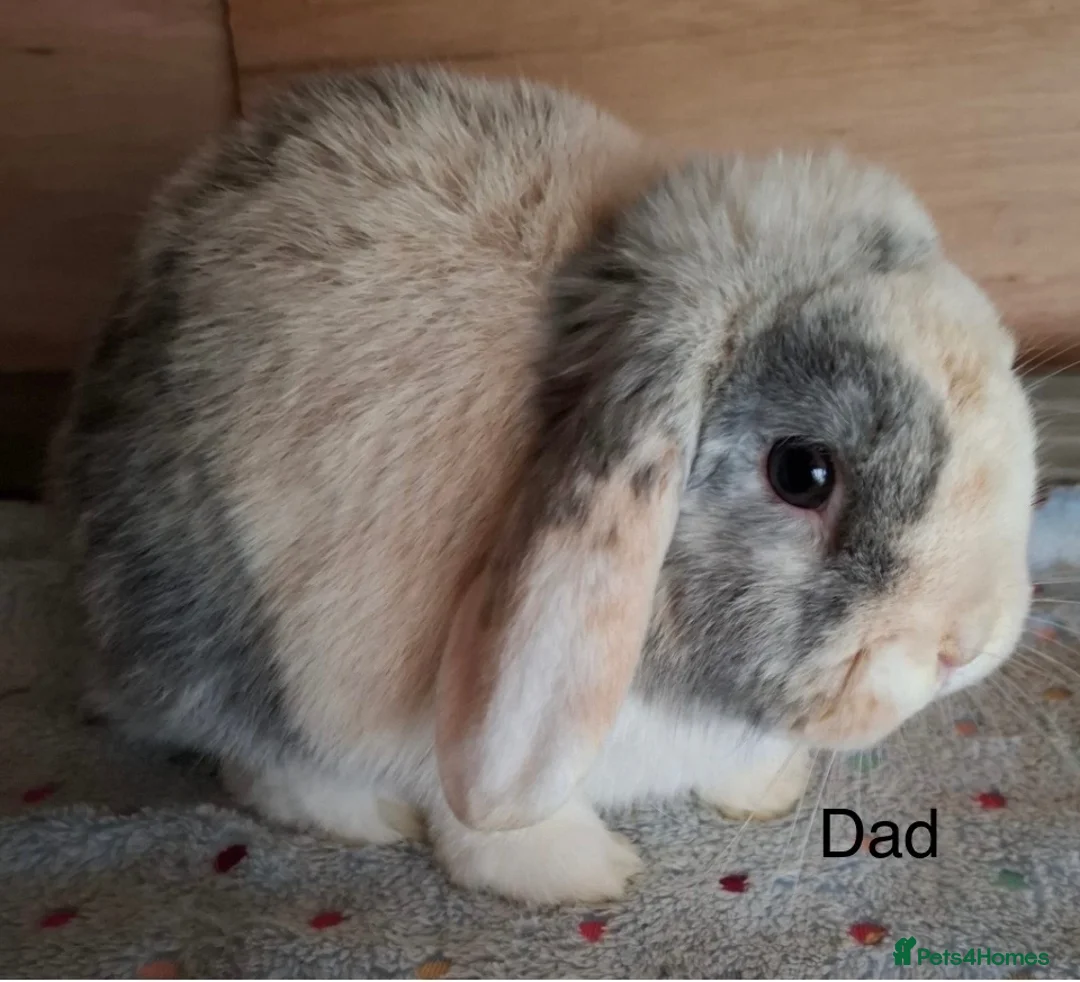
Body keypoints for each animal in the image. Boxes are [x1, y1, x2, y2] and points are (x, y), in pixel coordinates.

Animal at [51, 64, 1037, 905]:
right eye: (804, 472)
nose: (966, 644)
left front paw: (764, 790)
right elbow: (485, 819)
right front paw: (581, 876)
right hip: (217, 631)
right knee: (255, 755)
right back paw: (365, 818)